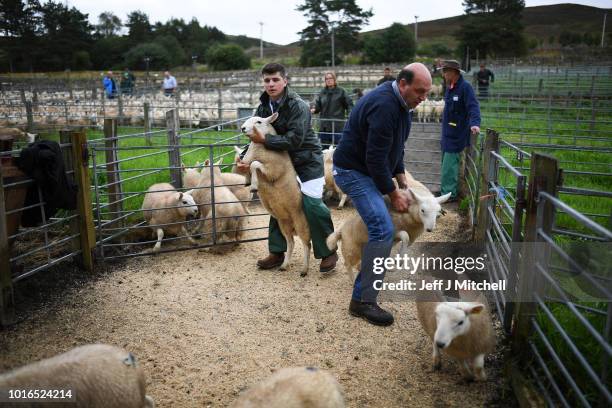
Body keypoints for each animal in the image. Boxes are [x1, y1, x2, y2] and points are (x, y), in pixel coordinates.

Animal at [239, 113, 310, 276]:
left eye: (259, 121)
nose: (243, 128)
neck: (259, 148)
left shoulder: (272, 170)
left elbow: (254, 164)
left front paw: (254, 186)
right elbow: (247, 166)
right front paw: (248, 181)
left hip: (301, 221)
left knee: (306, 243)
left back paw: (304, 269)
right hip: (284, 222)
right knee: (291, 242)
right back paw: (284, 265)